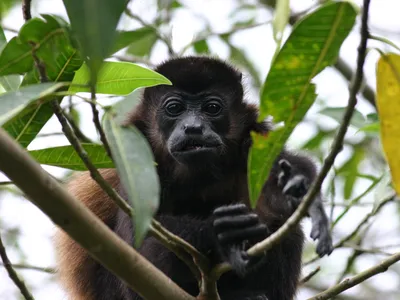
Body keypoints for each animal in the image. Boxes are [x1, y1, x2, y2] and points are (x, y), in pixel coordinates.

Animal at [54, 56, 332, 300]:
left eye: (212, 108)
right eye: (174, 108)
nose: (193, 127)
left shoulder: (253, 139)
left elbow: (287, 175)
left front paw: (301, 192)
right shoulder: (135, 158)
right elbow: (138, 242)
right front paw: (219, 234)